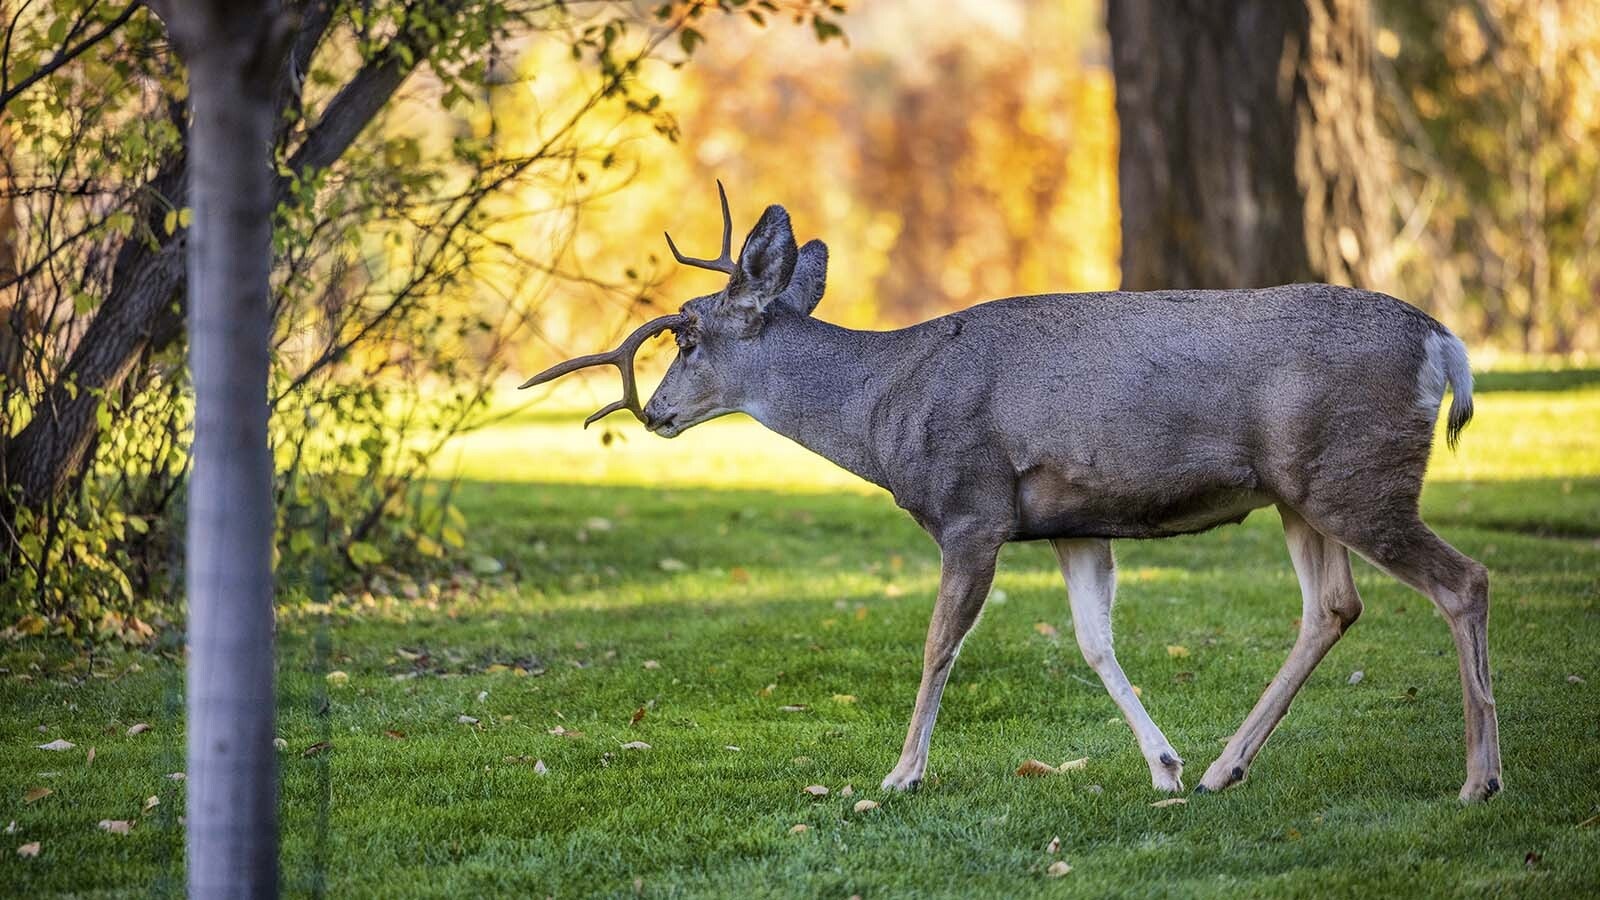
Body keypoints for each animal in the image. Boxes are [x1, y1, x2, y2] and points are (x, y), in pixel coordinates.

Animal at [522, 184, 1501, 803]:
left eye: (686, 338)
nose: (655, 413)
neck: (885, 407)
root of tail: (1445, 345)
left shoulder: (971, 507)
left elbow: (936, 648)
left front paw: (900, 775)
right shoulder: (1075, 521)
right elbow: (1094, 643)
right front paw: (1164, 766)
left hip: (1357, 475)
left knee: (1464, 580)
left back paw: (1479, 779)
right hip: (1303, 493)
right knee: (1332, 607)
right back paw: (1225, 768)